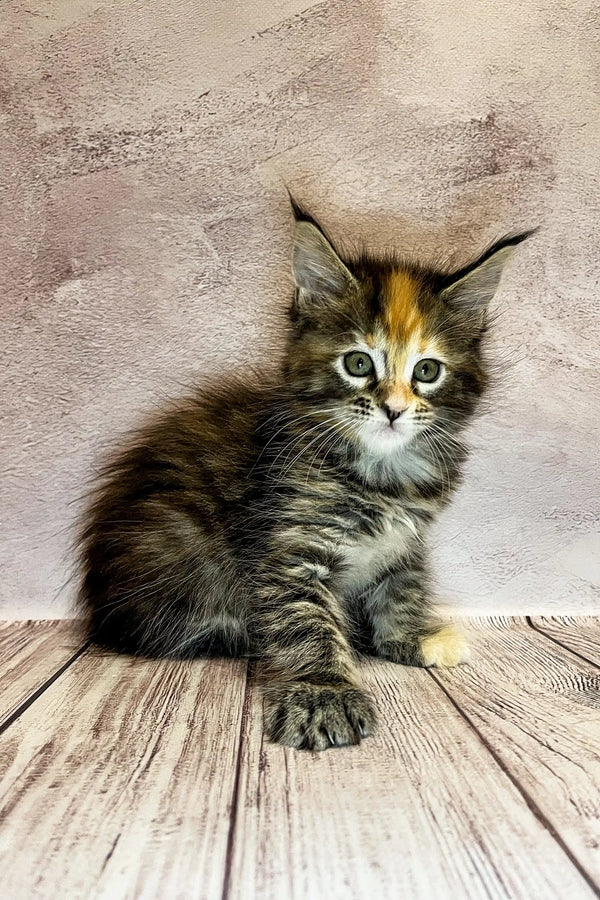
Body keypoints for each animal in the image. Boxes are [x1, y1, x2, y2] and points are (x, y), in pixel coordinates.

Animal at [77, 204, 532, 752]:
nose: (394, 409)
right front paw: (324, 693)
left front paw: (411, 638)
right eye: (358, 363)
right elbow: (305, 622)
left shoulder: (405, 541)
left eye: (427, 371)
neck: (384, 475)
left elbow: (402, 586)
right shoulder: (289, 550)